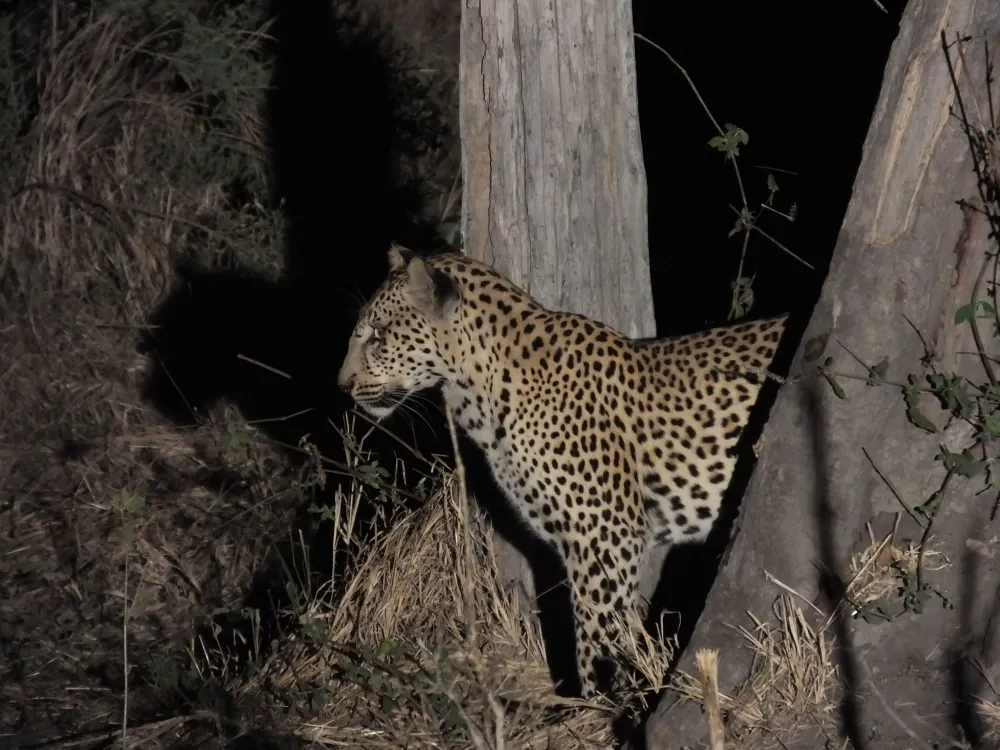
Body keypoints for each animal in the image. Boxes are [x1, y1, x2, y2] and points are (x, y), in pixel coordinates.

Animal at [337, 244, 788, 699]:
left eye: (378, 334)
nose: (342, 385)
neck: (479, 389)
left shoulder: (605, 535)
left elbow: (595, 635)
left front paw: (597, 703)